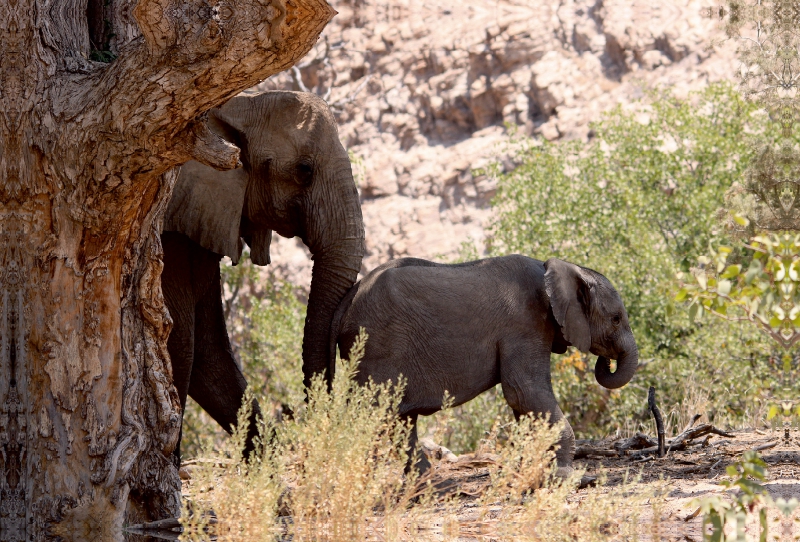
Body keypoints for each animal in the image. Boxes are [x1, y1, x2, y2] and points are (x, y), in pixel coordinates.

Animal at [330, 258, 636, 478]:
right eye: (616, 319)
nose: (606, 360)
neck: (555, 269)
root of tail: (350, 296)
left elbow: (524, 402)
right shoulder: (524, 324)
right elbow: (523, 390)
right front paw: (567, 475)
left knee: (400, 420)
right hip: (376, 346)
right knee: (375, 414)